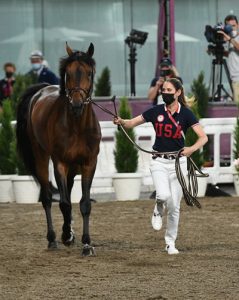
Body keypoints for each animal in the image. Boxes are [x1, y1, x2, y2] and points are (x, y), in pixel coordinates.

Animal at [15, 42, 102, 255]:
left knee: (68, 193)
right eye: (68, 73)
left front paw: (86, 244)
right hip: (41, 156)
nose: (77, 104)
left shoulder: (89, 163)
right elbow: (63, 203)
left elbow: (84, 203)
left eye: (89, 73)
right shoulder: (60, 163)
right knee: (47, 197)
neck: (77, 126)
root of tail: (42, 90)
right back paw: (54, 238)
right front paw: (66, 237)